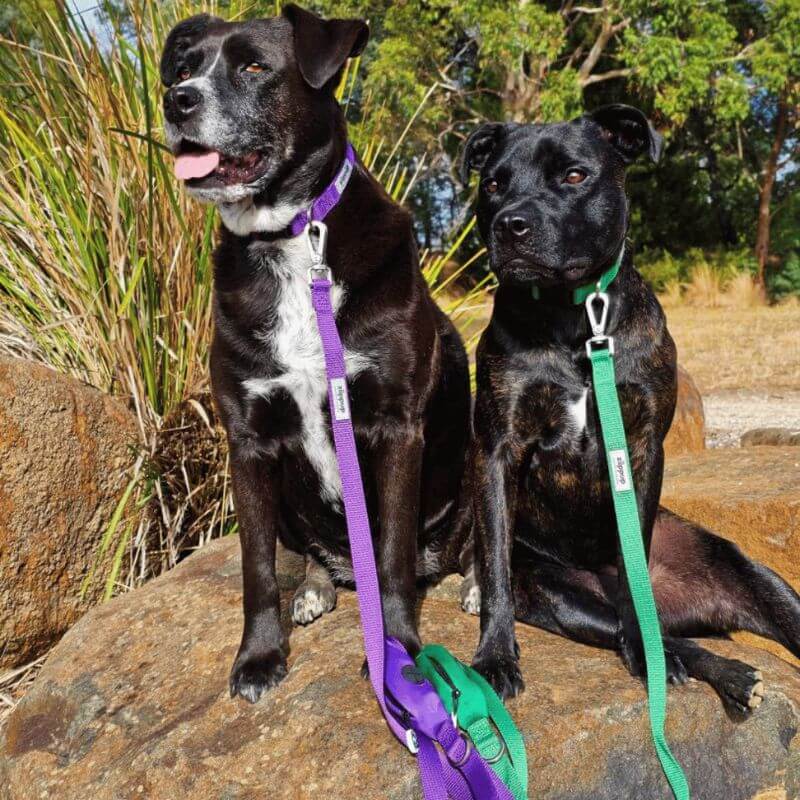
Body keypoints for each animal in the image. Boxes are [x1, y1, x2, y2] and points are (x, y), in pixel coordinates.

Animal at [160, 7, 472, 708]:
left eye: (254, 67)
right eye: (184, 67)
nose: (175, 100)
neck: (292, 238)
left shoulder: (396, 427)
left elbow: (392, 554)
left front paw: (397, 650)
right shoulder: (247, 440)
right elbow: (255, 568)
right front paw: (258, 658)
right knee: (305, 555)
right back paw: (314, 586)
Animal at [462, 104, 800, 712]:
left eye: (574, 175)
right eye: (493, 184)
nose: (509, 225)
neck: (575, 319)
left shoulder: (641, 444)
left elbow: (631, 559)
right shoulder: (497, 448)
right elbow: (495, 567)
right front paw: (495, 657)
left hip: (751, 574)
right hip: (565, 599)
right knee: (665, 636)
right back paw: (732, 675)